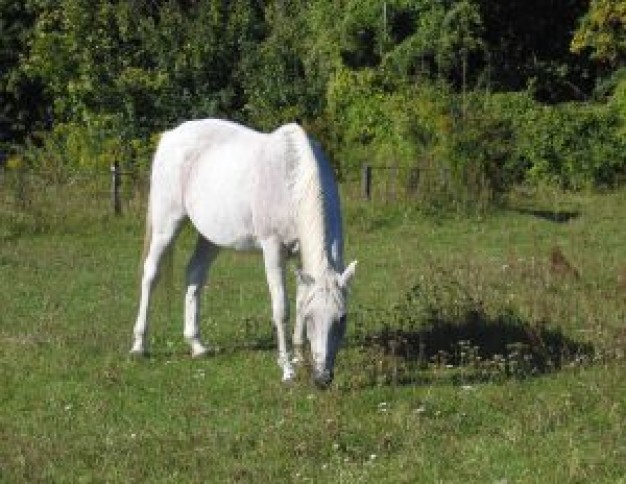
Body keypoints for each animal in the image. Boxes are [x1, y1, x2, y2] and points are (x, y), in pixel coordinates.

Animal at [130, 118, 356, 386]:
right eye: (312, 318)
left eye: (342, 318)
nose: (322, 379)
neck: (292, 179)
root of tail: (170, 135)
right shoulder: (273, 249)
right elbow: (282, 310)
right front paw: (288, 370)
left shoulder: (302, 258)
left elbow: (301, 300)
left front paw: (300, 358)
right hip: (166, 225)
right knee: (150, 275)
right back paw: (139, 346)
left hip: (210, 237)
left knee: (194, 274)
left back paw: (196, 345)